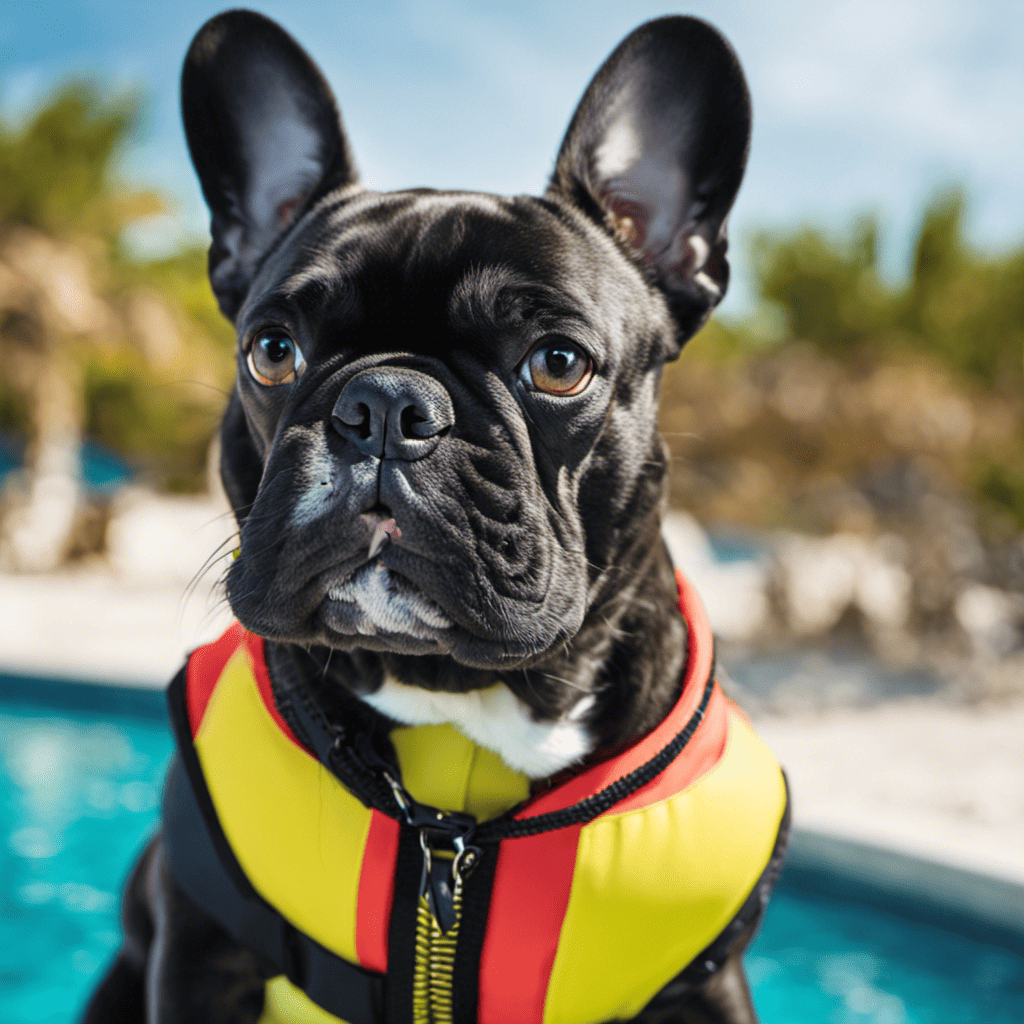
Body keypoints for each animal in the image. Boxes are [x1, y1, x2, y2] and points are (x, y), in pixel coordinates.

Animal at [86, 9, 790, 1024]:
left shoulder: (704, 988)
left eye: (559, 362)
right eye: (271, 350)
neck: (456, 706)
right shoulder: (200, 954)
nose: (384, 404)